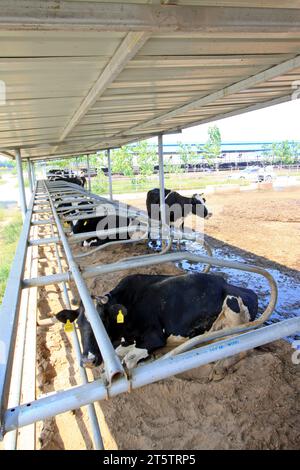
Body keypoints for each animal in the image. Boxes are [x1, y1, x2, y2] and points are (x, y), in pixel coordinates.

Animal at [55, 274, 258, 370]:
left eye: (103, 321)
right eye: (78, 324)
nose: (88, 361)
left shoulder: (154, 337)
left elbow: (129, 359)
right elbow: (119, 352)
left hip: (233, 310)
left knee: (244, 347)